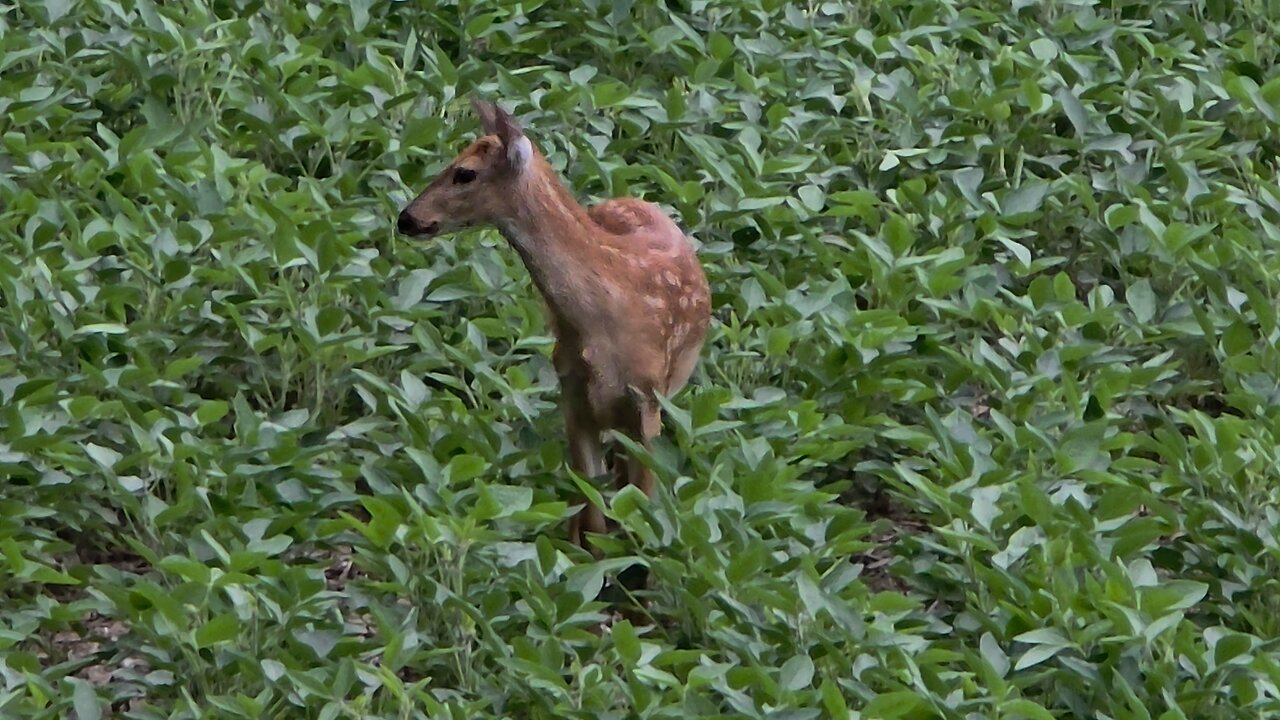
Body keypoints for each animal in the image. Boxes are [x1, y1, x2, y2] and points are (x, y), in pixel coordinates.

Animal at [395, 96, 712, 561]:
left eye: (464, 172)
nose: (406, 219)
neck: (605, 319)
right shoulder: (573, 396)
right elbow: (595, 516)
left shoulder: (647, 403)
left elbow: (640, 508)